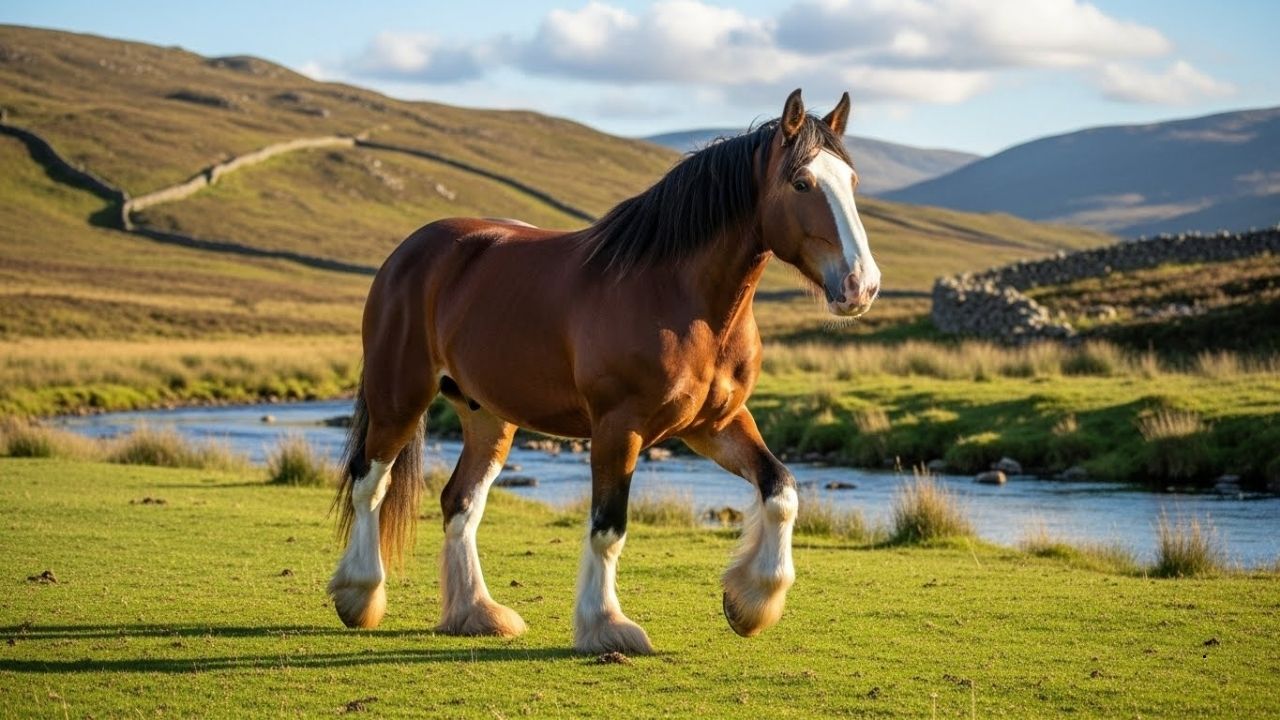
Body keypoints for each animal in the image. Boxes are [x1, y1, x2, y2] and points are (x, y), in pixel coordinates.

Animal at [328, 88, 880, 655]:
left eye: (852, 182)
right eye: (802, 182)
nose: (861, 285)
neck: (679, 297)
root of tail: (410, 252)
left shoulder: (715, 425)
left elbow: (781, 489)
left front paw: (750, 601)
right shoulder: (619, 428)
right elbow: (608, 527)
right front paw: (606, 625)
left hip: (488, 415)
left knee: (460, 502)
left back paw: (476, 612)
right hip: (399, 397)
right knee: (369, 484)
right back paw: (360, 595)